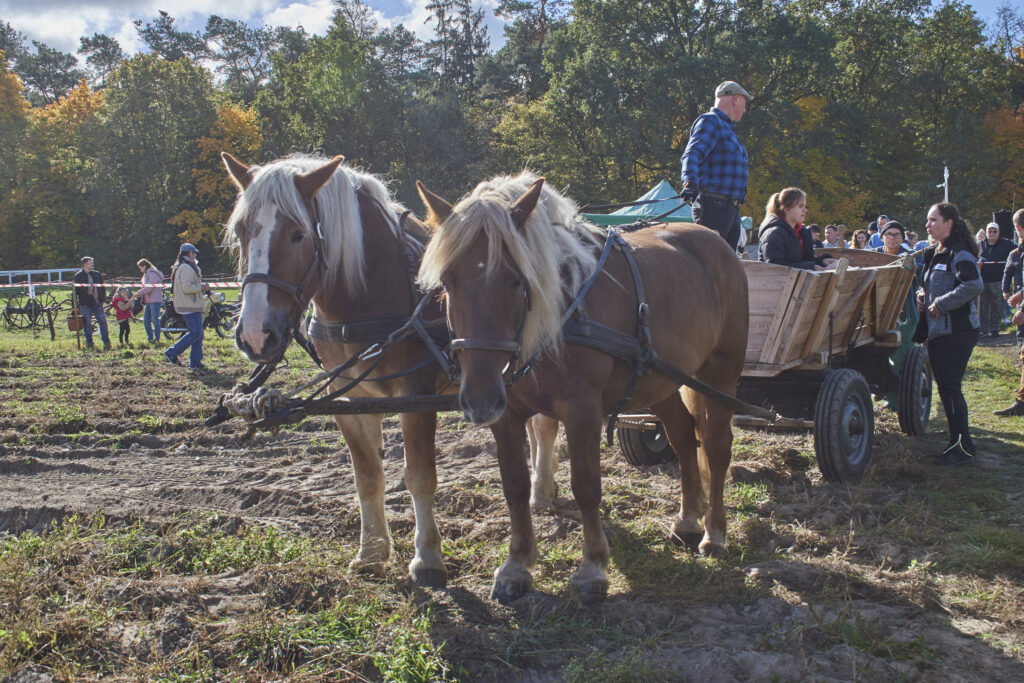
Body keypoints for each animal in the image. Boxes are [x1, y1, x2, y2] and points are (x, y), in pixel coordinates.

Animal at [413, 172, 745, 602]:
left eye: (516, 280)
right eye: (448, 281)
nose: (479, 399)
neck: (559, 313)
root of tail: (715, 241)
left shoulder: (582, 409)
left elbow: (586, 485)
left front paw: (592, 568)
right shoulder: (508, 414)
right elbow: (515, 486)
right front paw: (516, 565)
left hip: (719, 374)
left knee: (717, 447)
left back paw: (714, 533)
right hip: (664, 379)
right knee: (684, 436)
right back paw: (689, 521)